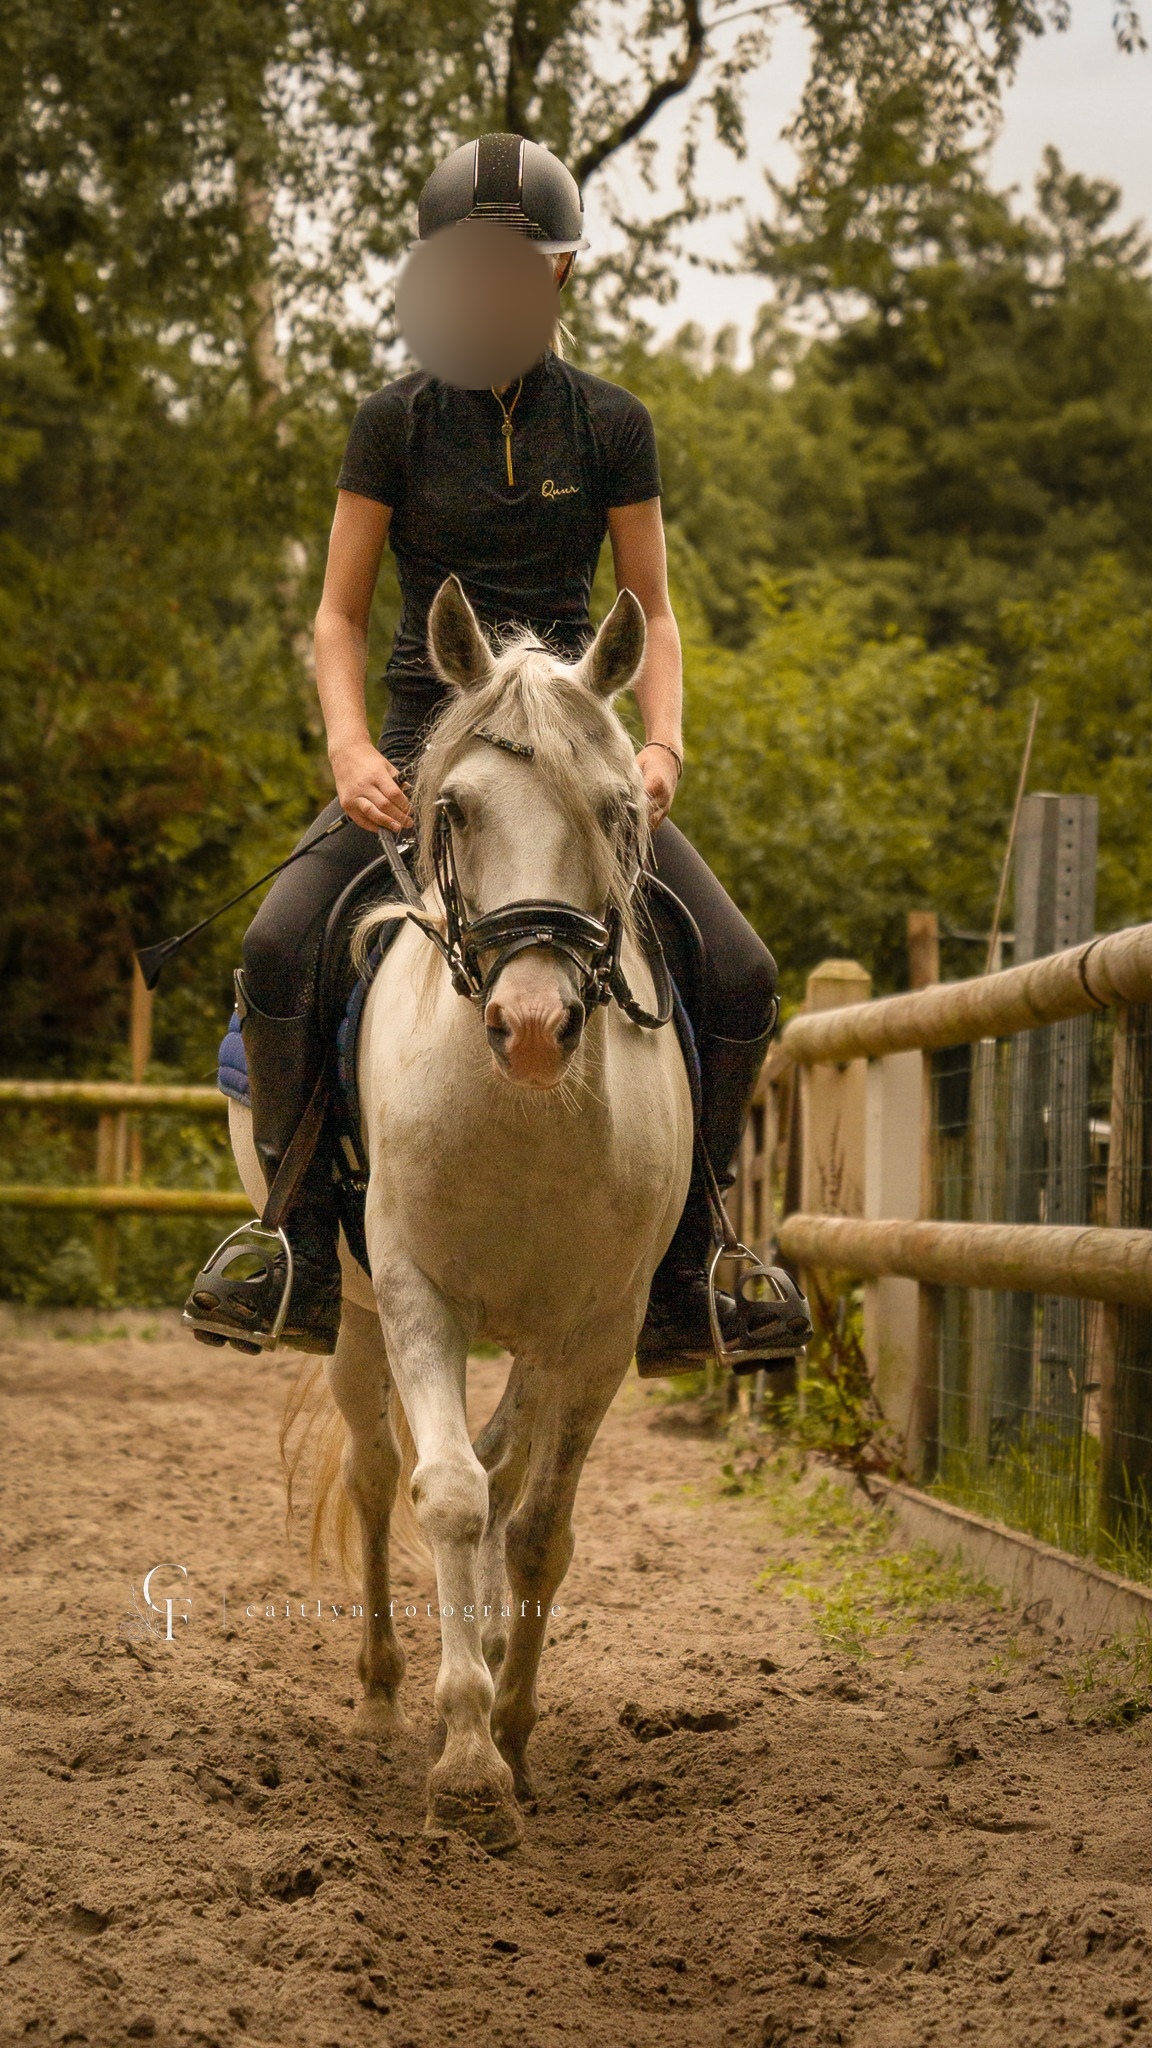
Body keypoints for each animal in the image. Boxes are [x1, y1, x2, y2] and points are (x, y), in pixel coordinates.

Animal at [229, 573, 694, 1852]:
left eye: (613, 807)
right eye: (457, 812)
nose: (533, 1027)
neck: (521, 1113)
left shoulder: (597, 1328)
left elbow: (536, 1525)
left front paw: (515, 1731)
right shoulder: (416, 1292)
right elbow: (443, 1492)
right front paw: (467, 1762)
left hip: (539, 1337)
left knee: (504, 1466)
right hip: (350, 1312)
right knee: (381, 1467)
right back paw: (387, 1690)